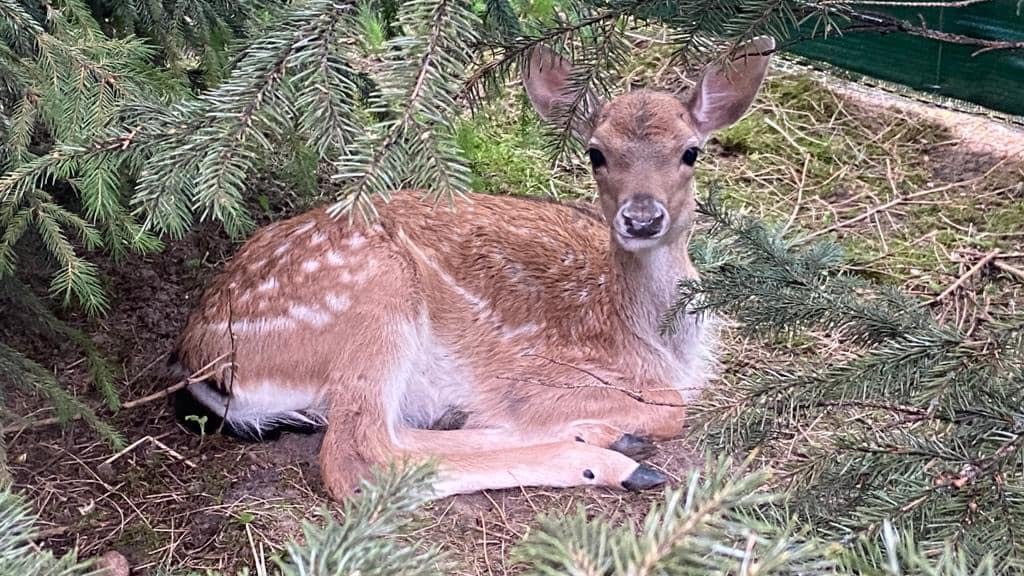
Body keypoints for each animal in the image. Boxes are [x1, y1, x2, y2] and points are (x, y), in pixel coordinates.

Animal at [169, 36, 774, 498]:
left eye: (691, 152)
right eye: (596, 153)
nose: (642, 217)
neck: (651, 336)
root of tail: (201, 355)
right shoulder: (541, 373)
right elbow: (672, 408)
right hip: (374, 294)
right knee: (356, 454)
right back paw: (616, 461)